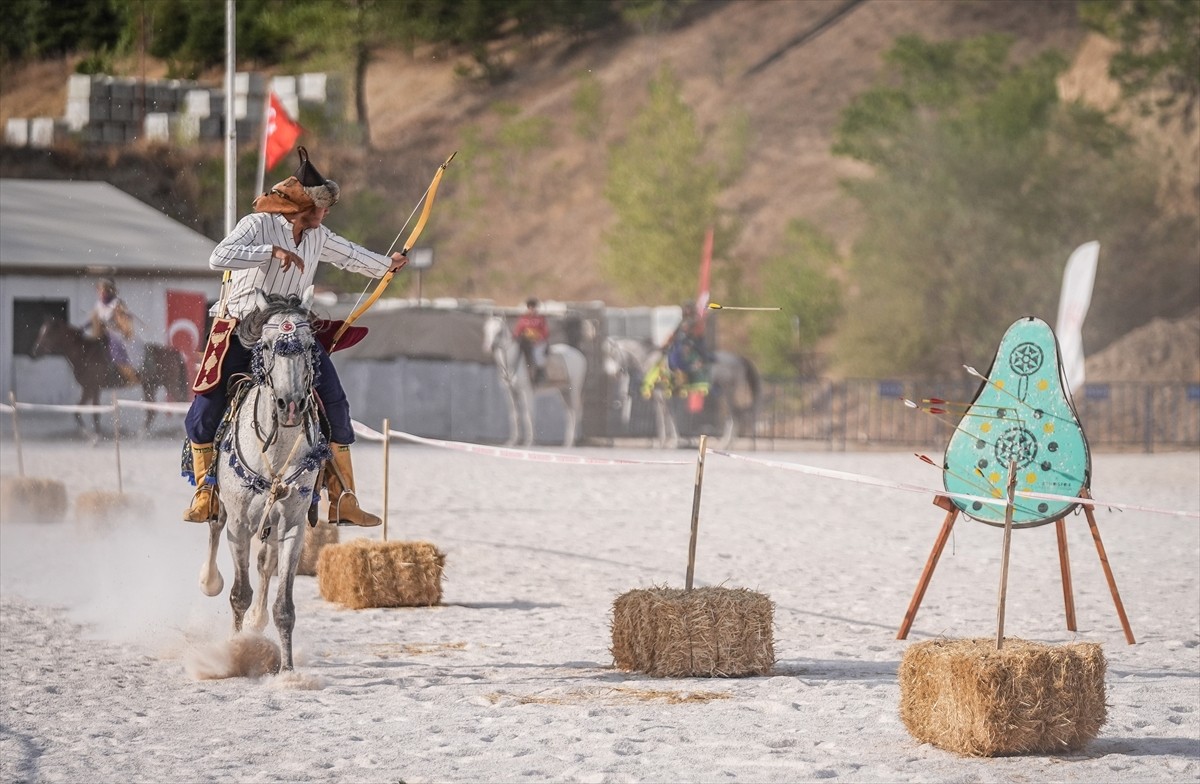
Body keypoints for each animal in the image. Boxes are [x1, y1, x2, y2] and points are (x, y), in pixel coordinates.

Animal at [32, 314, 189, 434]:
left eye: (48, 334)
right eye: (41, 331)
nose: (35, 350)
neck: (85, 353)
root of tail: (174, 353)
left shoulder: (91, 388)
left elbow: (87, 412)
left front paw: (93, 436)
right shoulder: (92, 389)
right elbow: (84, 412)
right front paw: (93, 435)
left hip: (170, 385)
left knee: (181, 404)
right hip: (150, 385)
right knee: (152, 411)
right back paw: (140, 436)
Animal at [199, 286, 328, 672]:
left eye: (309, 345)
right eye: (269, 345)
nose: (291, 405)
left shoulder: (293, 525)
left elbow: (284, 607)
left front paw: (287, 672)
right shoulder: (239, 523)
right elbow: (239, 594)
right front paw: (236, 651)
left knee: (265, 563)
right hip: (223, 507)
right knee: (213, 528)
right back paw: (208, 581)